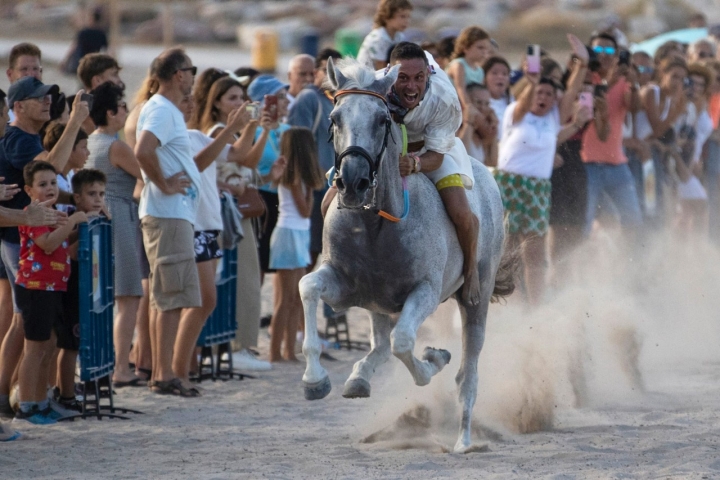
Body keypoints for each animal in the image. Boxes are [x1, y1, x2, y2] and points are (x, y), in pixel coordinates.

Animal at [299, 57, 515, 453]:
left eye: (382, 120)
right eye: (334, 118)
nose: (352, 183)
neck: (375, 224)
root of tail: (488, 174)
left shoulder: (425, 292)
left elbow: (404, 342)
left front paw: (433, 360)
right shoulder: (345, 284)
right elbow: (308, 286)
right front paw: (314, 380)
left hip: (476, 297)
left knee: (467, 374)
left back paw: (463, 439)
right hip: (376, 302)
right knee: (381, 346)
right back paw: (358, 378)